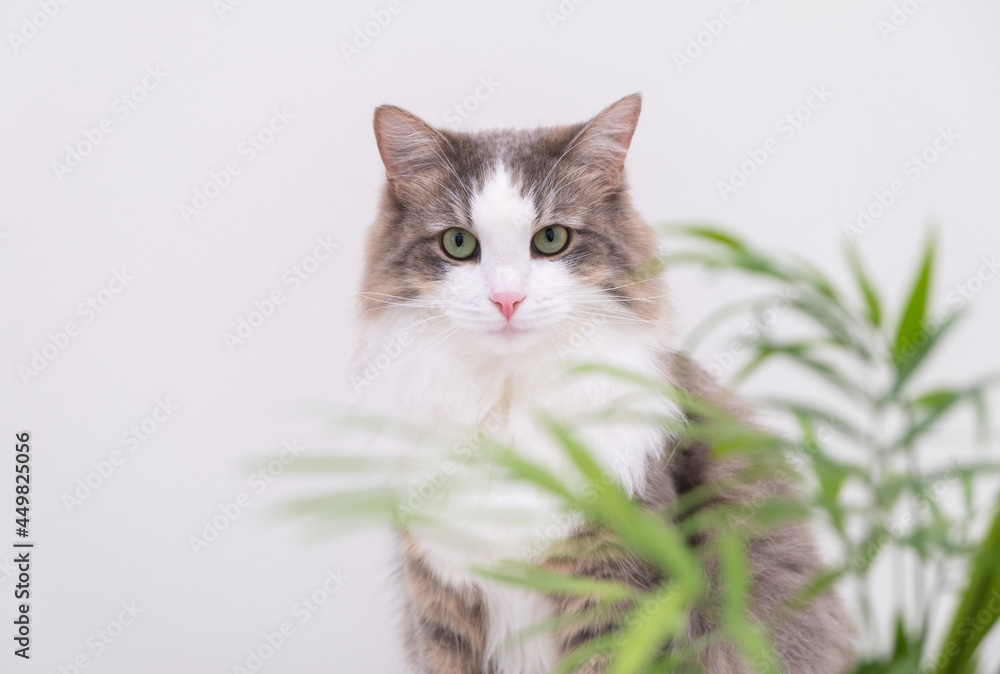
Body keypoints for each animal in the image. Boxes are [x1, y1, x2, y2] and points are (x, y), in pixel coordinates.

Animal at [352, 92, 852, 668]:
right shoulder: (439, 600)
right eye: (458, 243)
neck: (508, 400)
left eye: (551, 238)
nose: (507, 300)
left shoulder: (617, 589)